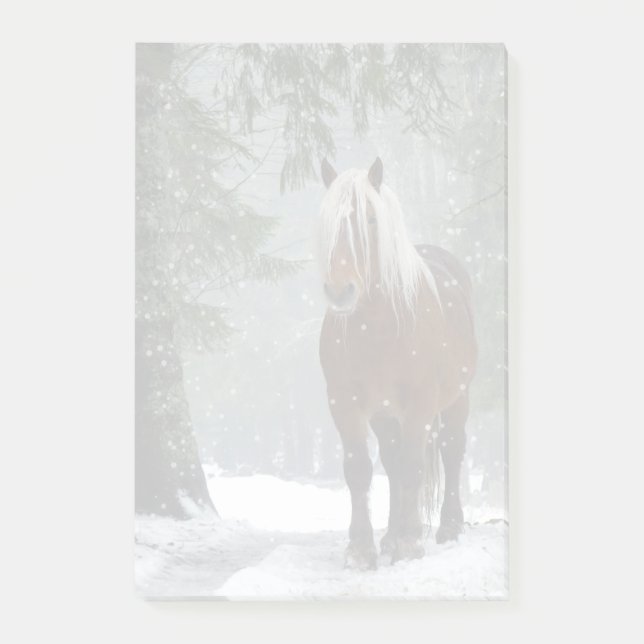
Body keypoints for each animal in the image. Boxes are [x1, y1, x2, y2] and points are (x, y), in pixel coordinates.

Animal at [317, 157, 478, 569]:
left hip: (457, 398)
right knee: (390, 461)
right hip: (385, 414)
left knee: (450, 451)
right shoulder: (344, 402)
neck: (378, 328)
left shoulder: (420, 402)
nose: (340, 291)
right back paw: (389, 536)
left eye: (371, 220)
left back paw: (447, 527)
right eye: (327, 221)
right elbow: (360, 469)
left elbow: (413, 466)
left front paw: (410, 544)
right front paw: (362, 549)